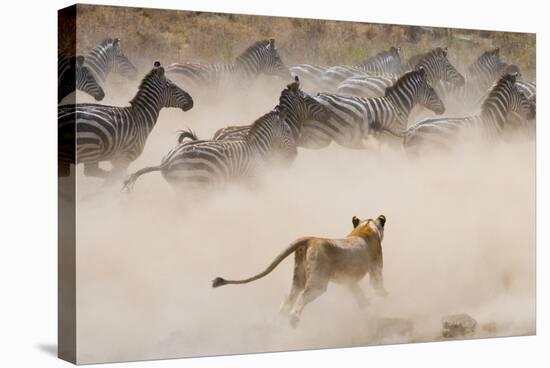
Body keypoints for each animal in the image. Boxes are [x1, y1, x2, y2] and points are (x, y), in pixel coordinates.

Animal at [57, 61, 194, 179]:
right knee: (93, 172)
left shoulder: (116, 159)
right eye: (173, 87)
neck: (141, 116)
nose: (192, 101)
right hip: (90, 149)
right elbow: (115, 178)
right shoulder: (125, 157)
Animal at [123, 108, 300, 193]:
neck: (257, 148)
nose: (295, 155)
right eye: (288, 131)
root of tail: (166, 162)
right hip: (194, 185)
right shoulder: (251, 180)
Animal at [302, 67, 448, 150]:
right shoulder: (393, 139)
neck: (398, 105)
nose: (444, 109)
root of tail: (318, 95)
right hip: (319, 136)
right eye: (432, 89)